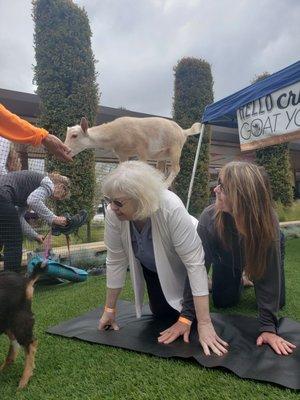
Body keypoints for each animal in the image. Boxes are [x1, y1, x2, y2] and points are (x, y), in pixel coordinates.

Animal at [65, 115, 202, 185]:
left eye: (74, 135)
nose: (67, 150)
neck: (116, 133)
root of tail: (183, 131)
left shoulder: (142, 148)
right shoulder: (122, 154)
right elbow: (123, 168)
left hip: (175, 148)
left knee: (176, 168)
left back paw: (164, 185)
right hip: (162, 155)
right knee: (161, 170)